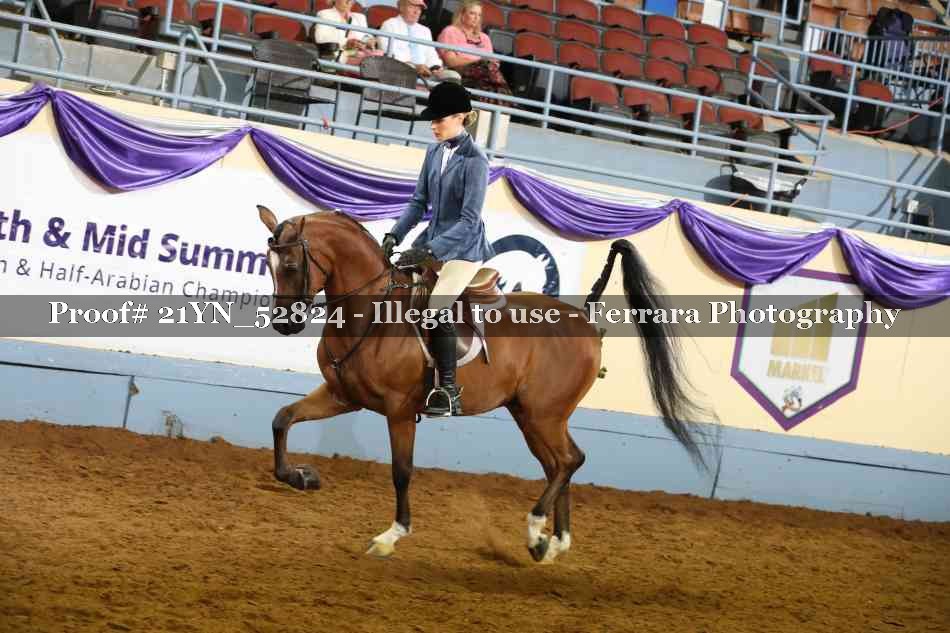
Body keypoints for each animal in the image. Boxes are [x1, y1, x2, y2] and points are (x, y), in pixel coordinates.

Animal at [257, 205, 717, 563]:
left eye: (292, 266)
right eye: (269, 266)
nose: (285, 324)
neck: (371, 313)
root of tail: (586, 322)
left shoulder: (399, 410)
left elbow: (402, 472)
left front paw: (391, 536)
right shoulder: (343, 395)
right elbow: (282, 418)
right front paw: (300, 476)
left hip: (544, 415)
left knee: (569, 461)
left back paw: (536, 529)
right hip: (532, 416)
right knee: (561, 463)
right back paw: (552, 544)